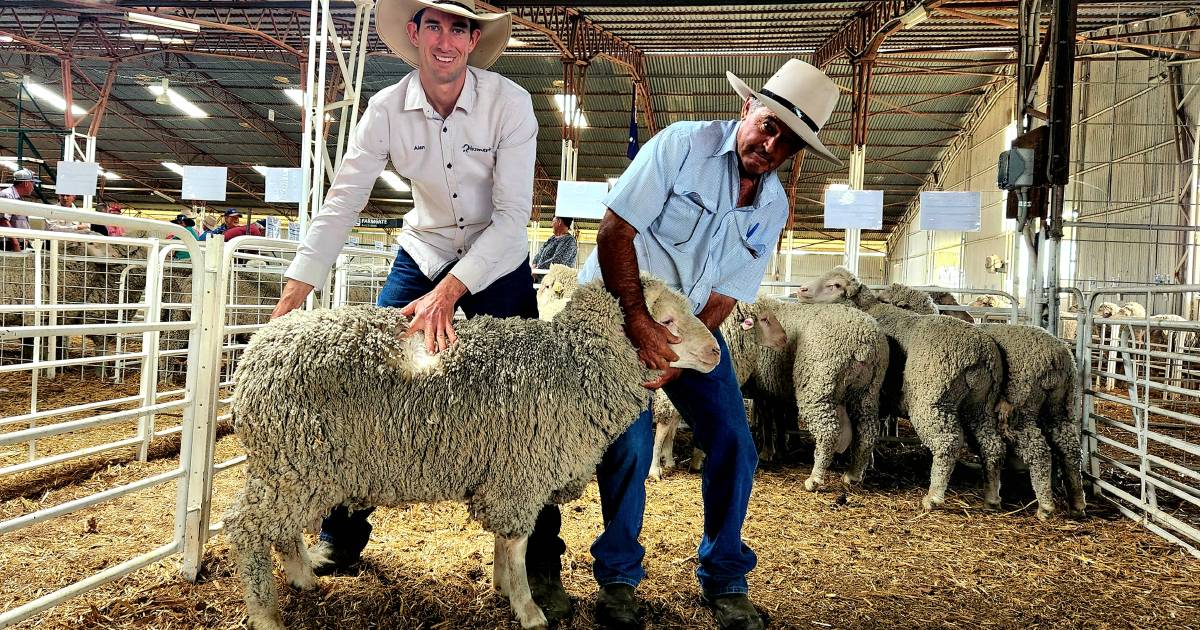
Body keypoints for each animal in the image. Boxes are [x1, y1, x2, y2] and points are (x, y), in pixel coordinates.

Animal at [223, 276, 720, 628]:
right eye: (667, 323)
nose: (716, 352)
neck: (572, 364)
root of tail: (258, 349)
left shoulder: (504, 473)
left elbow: (504, 543)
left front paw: (502, 588)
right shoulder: (521, 475)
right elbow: (517, 545)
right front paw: (528, 609)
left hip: (294, 467)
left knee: (279, 529)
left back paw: (302, 576)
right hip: (295, 461)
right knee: (244, 529)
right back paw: (266, 614)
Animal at [801, 265, 1008, 511]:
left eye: (835, 285)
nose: (801, 290)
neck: (867, 308)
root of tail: (980, 354)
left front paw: (865, 463)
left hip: (930, 400)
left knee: (947, 443)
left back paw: (933, 497)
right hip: (981, 404)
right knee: (992, 445)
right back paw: (992, 496)